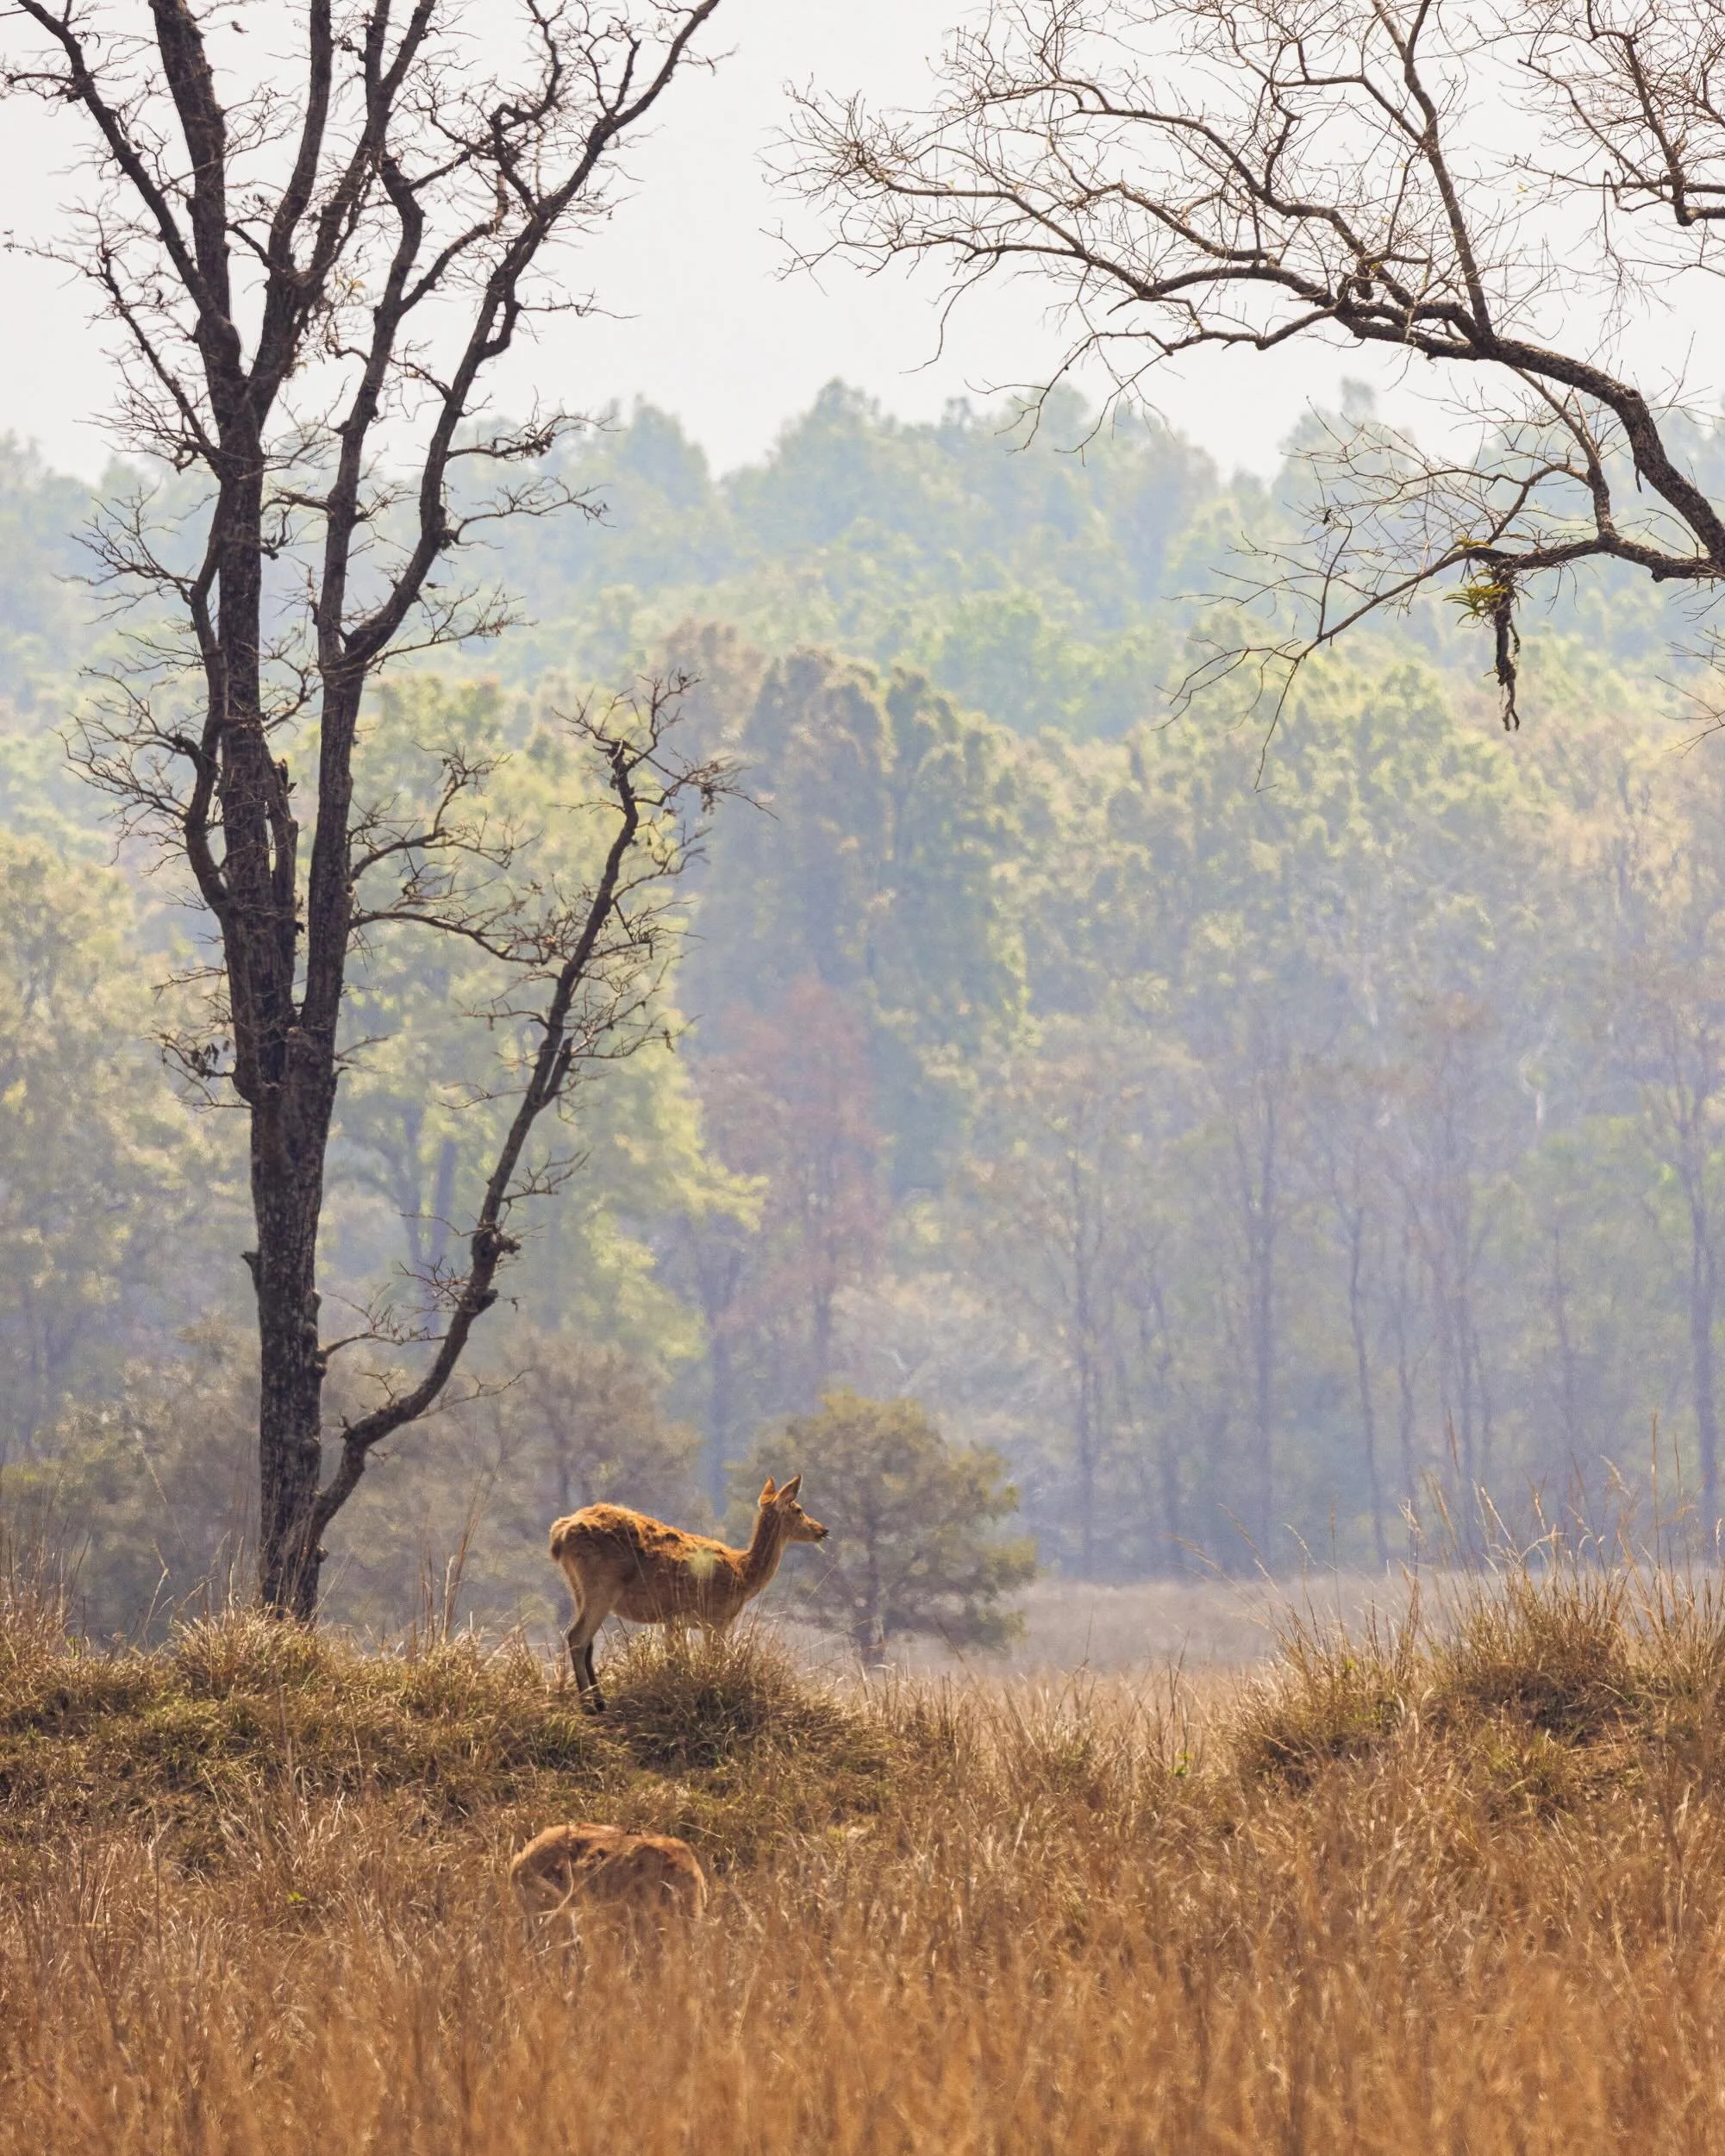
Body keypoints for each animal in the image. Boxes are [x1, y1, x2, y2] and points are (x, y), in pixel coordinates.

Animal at [549, 1475, 829, 1711]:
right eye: (798, 1509)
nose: (823, 1530)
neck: (744, 1575)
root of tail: (560, 1533)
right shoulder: (716, 1618)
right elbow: (713, 1659)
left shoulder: (674, 1621)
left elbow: (679, 1661)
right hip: (601, 1585)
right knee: (577, 1636)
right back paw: (589, 1706)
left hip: (578, 1589)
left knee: (586, 1641)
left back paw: (598, 1701)